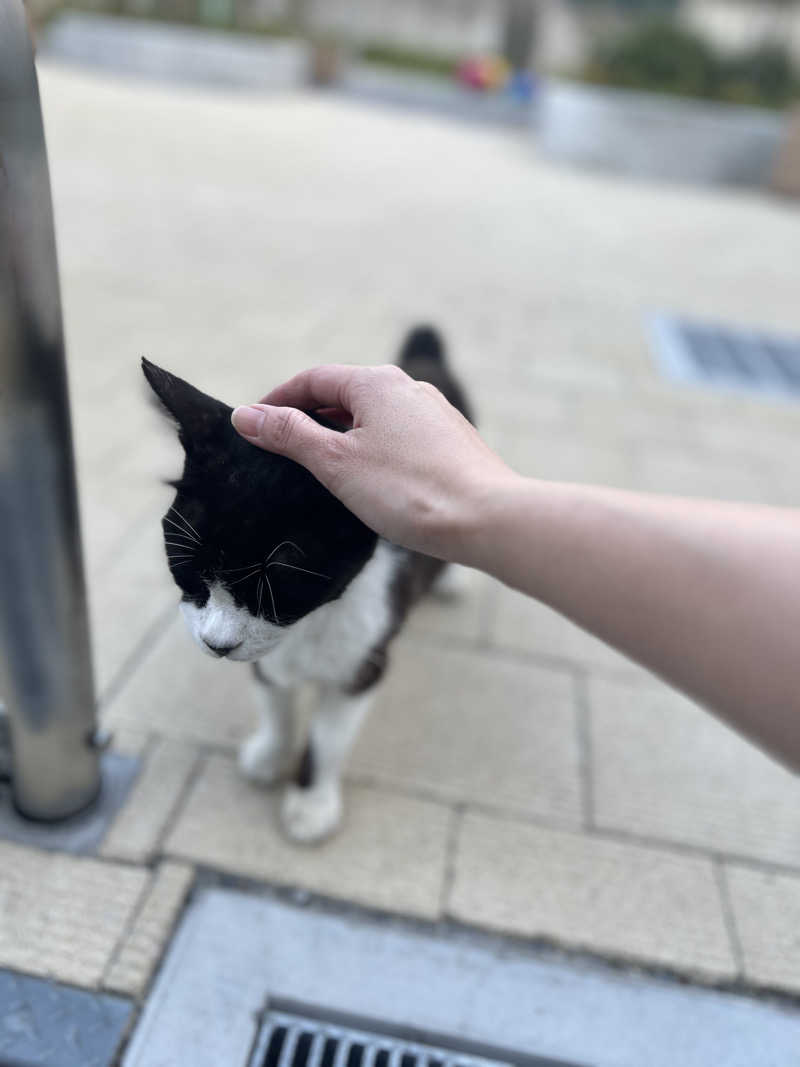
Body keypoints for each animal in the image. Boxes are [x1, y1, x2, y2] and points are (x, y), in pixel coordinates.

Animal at [145, 324, 473, 840]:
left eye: (280, 585)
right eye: (186, 569)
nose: (217, 644)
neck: (312, 626)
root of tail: (425, 359)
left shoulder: (364, 656)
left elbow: (328, 737)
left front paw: (311, 803)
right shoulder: (268, 656)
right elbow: (274, 698)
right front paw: (270, 753)